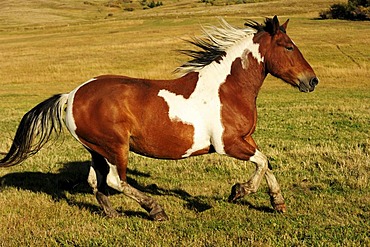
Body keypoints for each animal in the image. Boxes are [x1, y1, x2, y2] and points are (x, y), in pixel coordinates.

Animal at [0, 16, 318, 221]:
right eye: (289, 46)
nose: (312, 81)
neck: (228, 88)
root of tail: (71, 95)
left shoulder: (246, 139)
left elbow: (267, 164)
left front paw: (277, 203)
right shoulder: (228, 144)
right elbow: (262, 163)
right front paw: (239, 192)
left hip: (96, 149)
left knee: (95, 181)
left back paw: (112, 213)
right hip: (116, 147)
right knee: (115, 180)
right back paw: (155, 210)